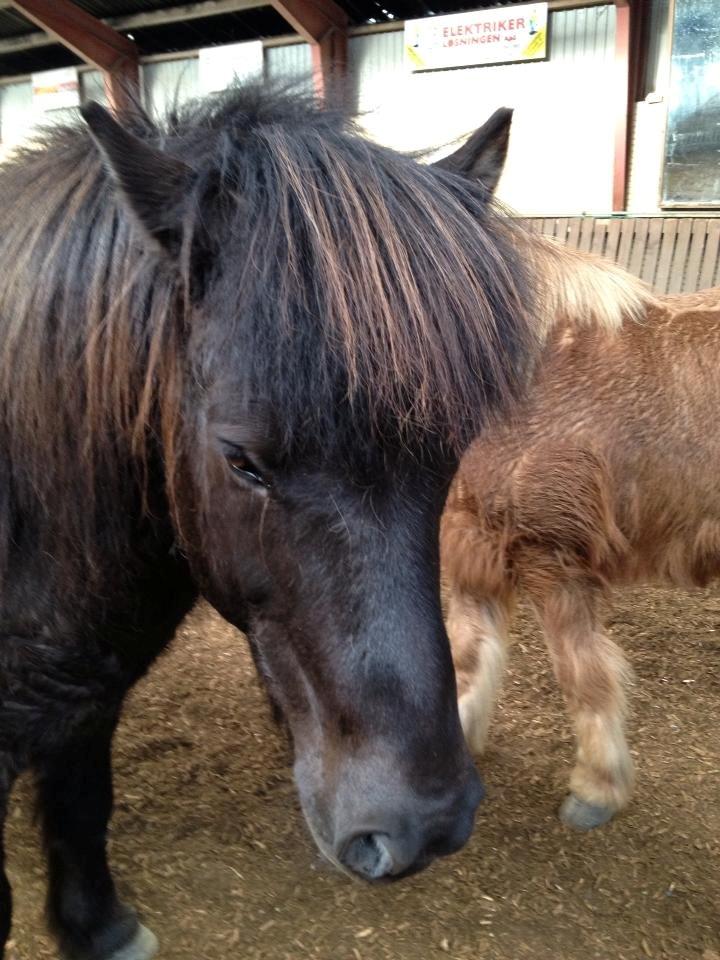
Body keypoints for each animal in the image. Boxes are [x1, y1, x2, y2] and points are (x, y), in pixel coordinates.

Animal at [0, 86, 532, 956]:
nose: (421, 826)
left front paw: (98, 928)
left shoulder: (90, 693)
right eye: (241, 459)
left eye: (451, 453)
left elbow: (82, 802)